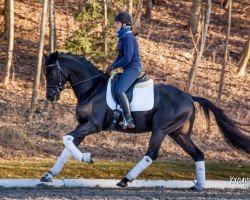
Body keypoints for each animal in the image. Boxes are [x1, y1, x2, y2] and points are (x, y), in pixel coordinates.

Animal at [40, 50, 250, 190]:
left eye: (51, 73)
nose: (50, 97)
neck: (91, 87)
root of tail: (189, 97)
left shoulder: (92, 125)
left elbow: (67, 139)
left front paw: (87, 158)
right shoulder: (82, 125)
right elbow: (67, 146)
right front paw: (48, 175)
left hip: (161, 129)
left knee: (152, 153)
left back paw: (125, 180)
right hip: (178, 133)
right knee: (197, 153)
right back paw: (198, 186)